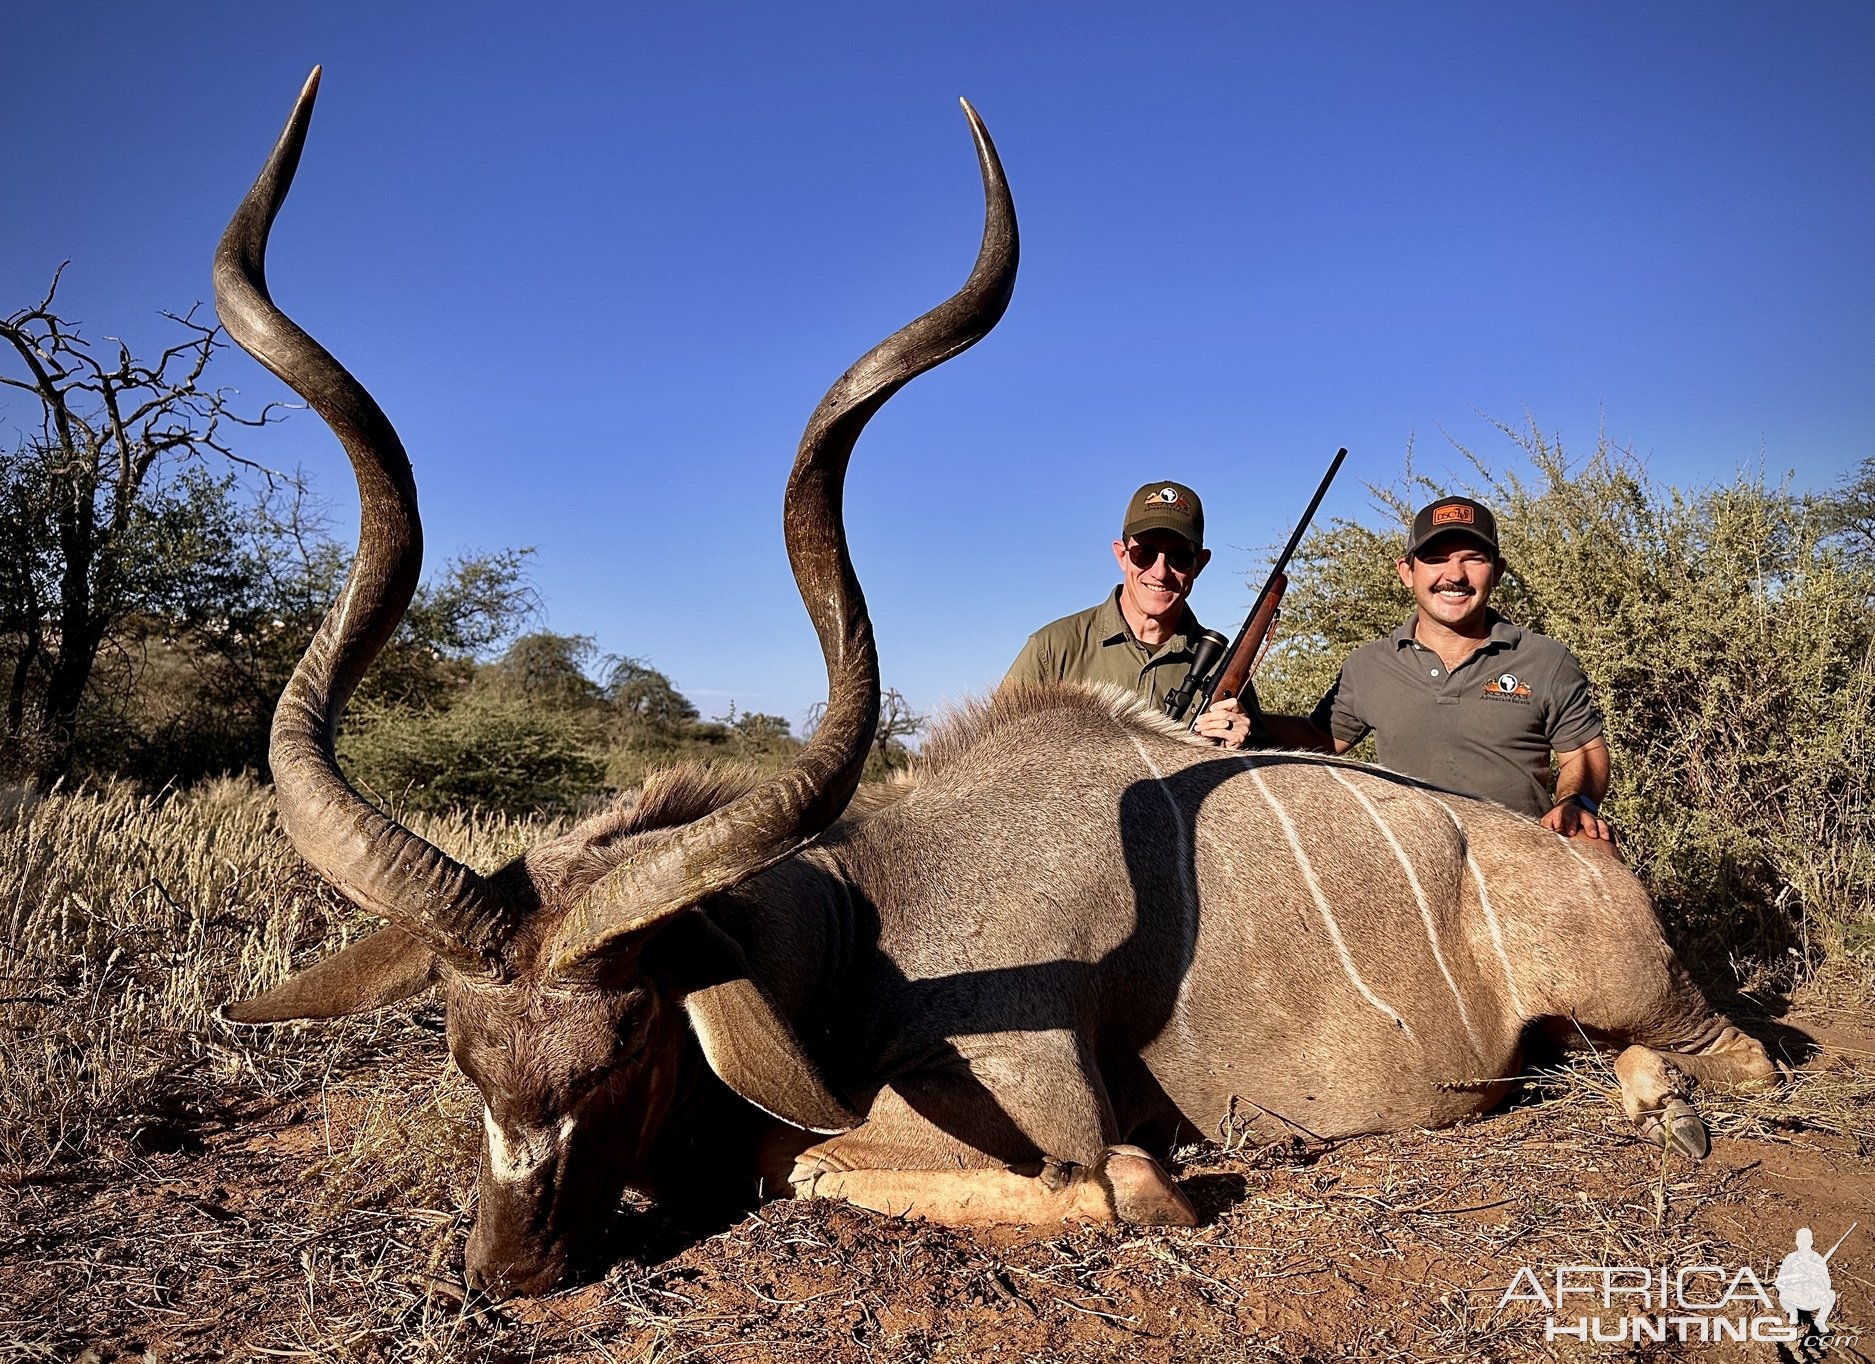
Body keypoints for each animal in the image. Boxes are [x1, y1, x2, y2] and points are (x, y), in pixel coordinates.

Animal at [215, 69, 1770, 1298]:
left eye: (627, 1042)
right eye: (462, 1058)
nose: (510, 1269)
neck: (862, 934)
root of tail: (1582, 858)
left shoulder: (1056, 1124)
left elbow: (908, 1170)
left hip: (1657, 1000)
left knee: (1736, 1056)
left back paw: (1665, 1108)